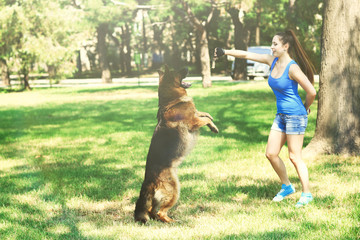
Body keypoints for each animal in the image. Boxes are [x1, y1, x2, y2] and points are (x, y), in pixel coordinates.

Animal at [134, 65, 219, 223]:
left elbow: (204, 114)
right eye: (177, 70)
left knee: (152, 210)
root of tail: (148, 182)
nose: (187, 67)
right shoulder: (192, 122)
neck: (171, 100)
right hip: (174, 191)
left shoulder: (195, 114)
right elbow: (204, 119)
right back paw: (174, 222)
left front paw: (212, 122)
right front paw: (213, 126)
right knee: (161, 212)